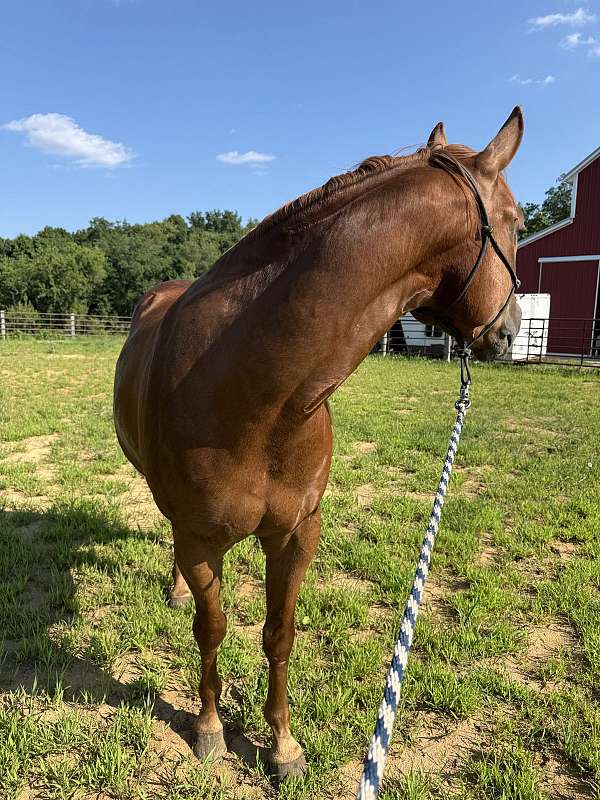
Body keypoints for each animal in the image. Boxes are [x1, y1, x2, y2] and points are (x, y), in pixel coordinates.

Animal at [113, 107, 524, 779]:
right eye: (516, 222)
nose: (511, 330)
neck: (255, 395)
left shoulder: (298, 532)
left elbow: (278, 633)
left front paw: (281, 745)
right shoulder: (201, 539)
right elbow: (212, 628)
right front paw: (208, 729)